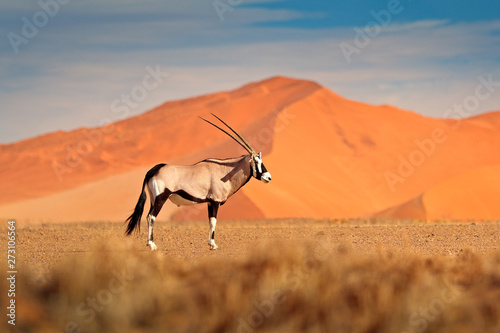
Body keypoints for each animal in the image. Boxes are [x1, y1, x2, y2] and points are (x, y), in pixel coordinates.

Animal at [127, 113, 272, 249]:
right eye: (257, 162)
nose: (268, 177)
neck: (225, 170)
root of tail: (152, 170)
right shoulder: (215, 201)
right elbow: (214, 221)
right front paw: (213, 245)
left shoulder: (209, 202)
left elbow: (210, 221)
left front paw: (210, 243)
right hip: (160, 198)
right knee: (151, 217)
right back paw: (152, 245)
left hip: (153, 199)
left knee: (148, 216)